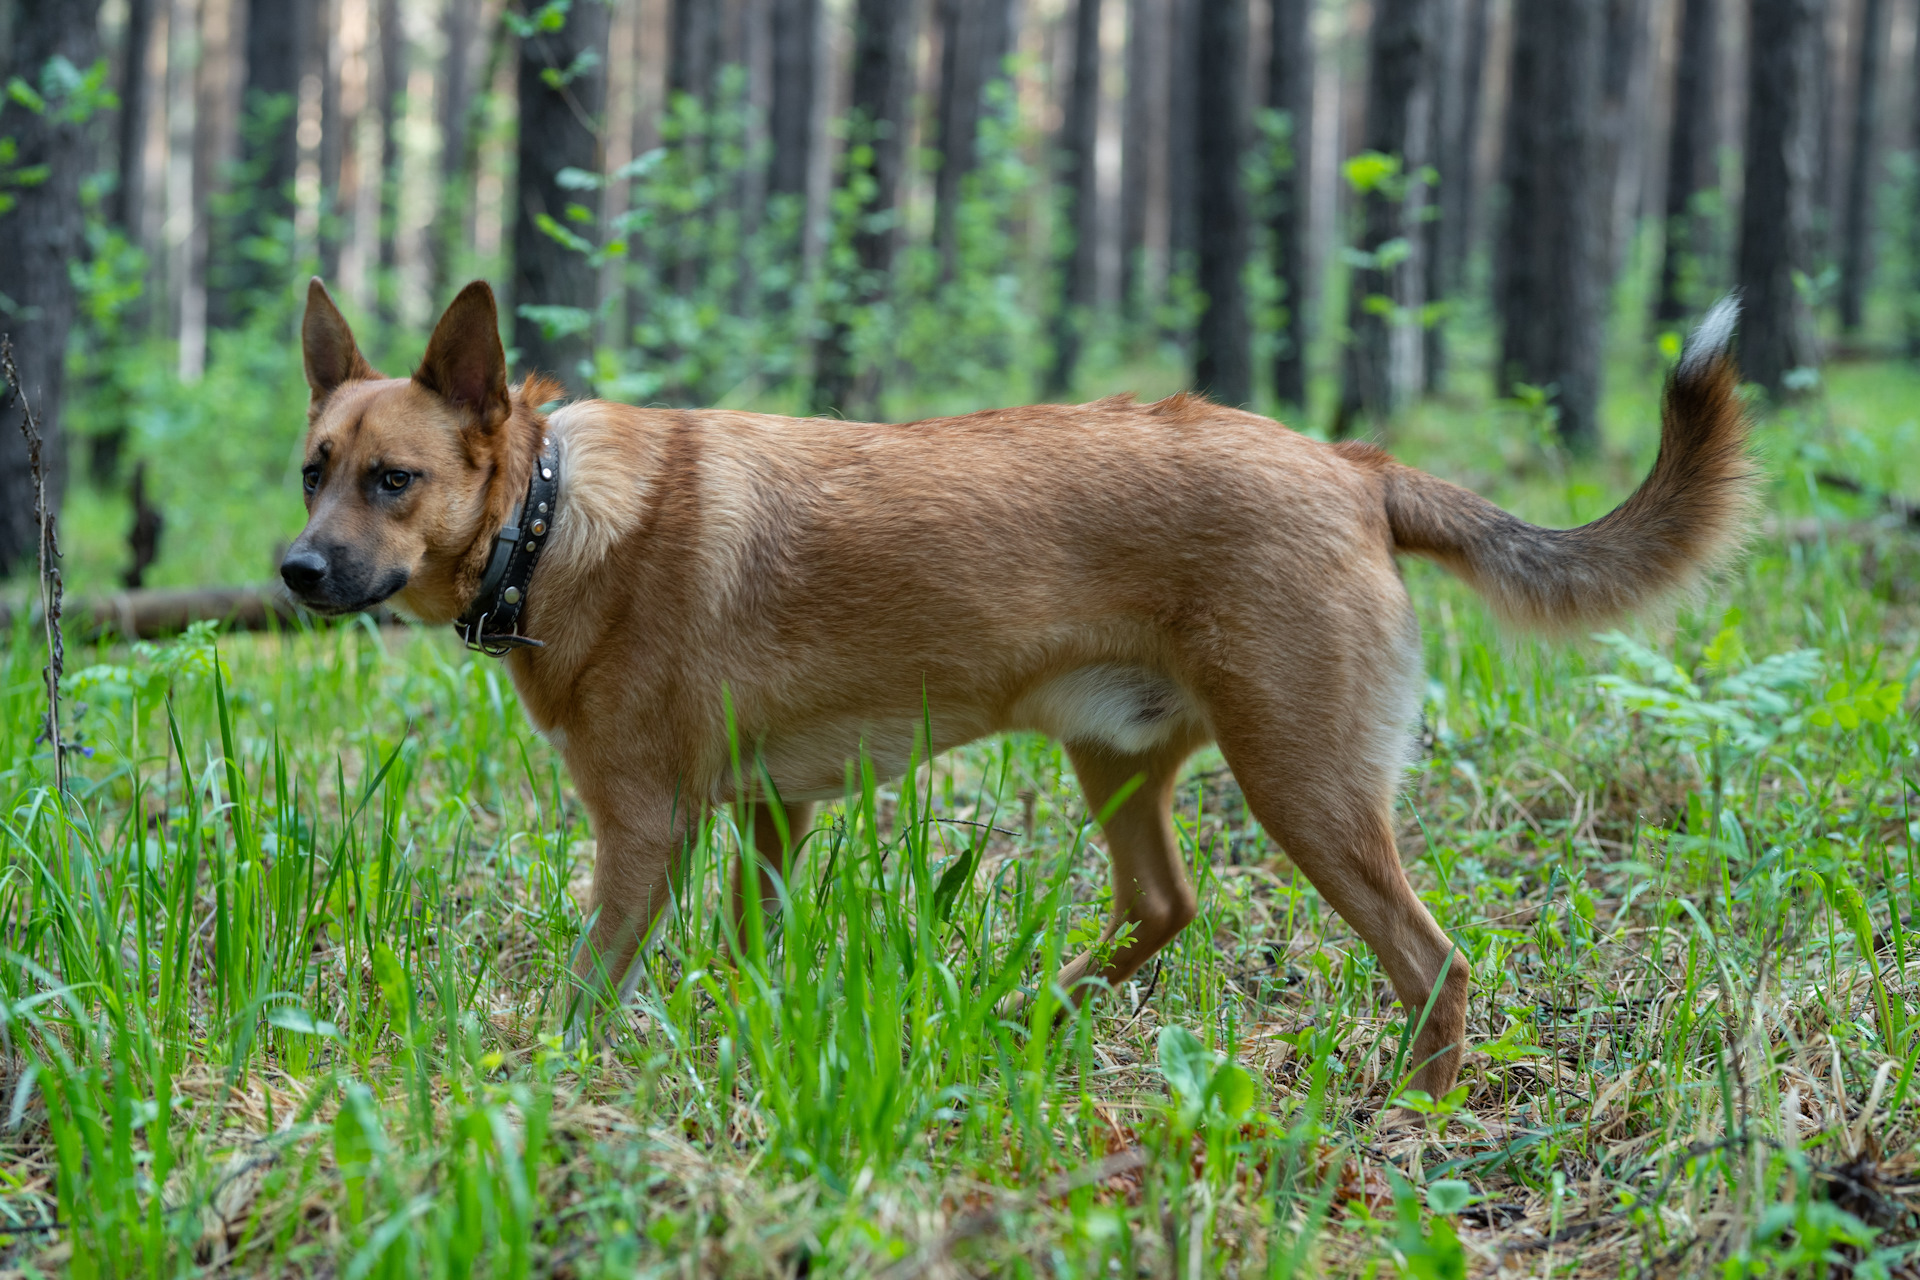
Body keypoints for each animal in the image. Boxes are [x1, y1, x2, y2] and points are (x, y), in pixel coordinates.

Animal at [284, 276, 1758, 1097]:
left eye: (394, 480)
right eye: (312, 468)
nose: (295, 571)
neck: (553, 515)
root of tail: (1351, 463)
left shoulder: (643, 829)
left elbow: (588, 986)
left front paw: (540, 1085)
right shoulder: (769, 818)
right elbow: (749, 963)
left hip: (1308, 788)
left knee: (1433, 966)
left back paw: (1416, 1114)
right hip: (1117, 760)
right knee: (1164, 906)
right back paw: (1024, 1011)